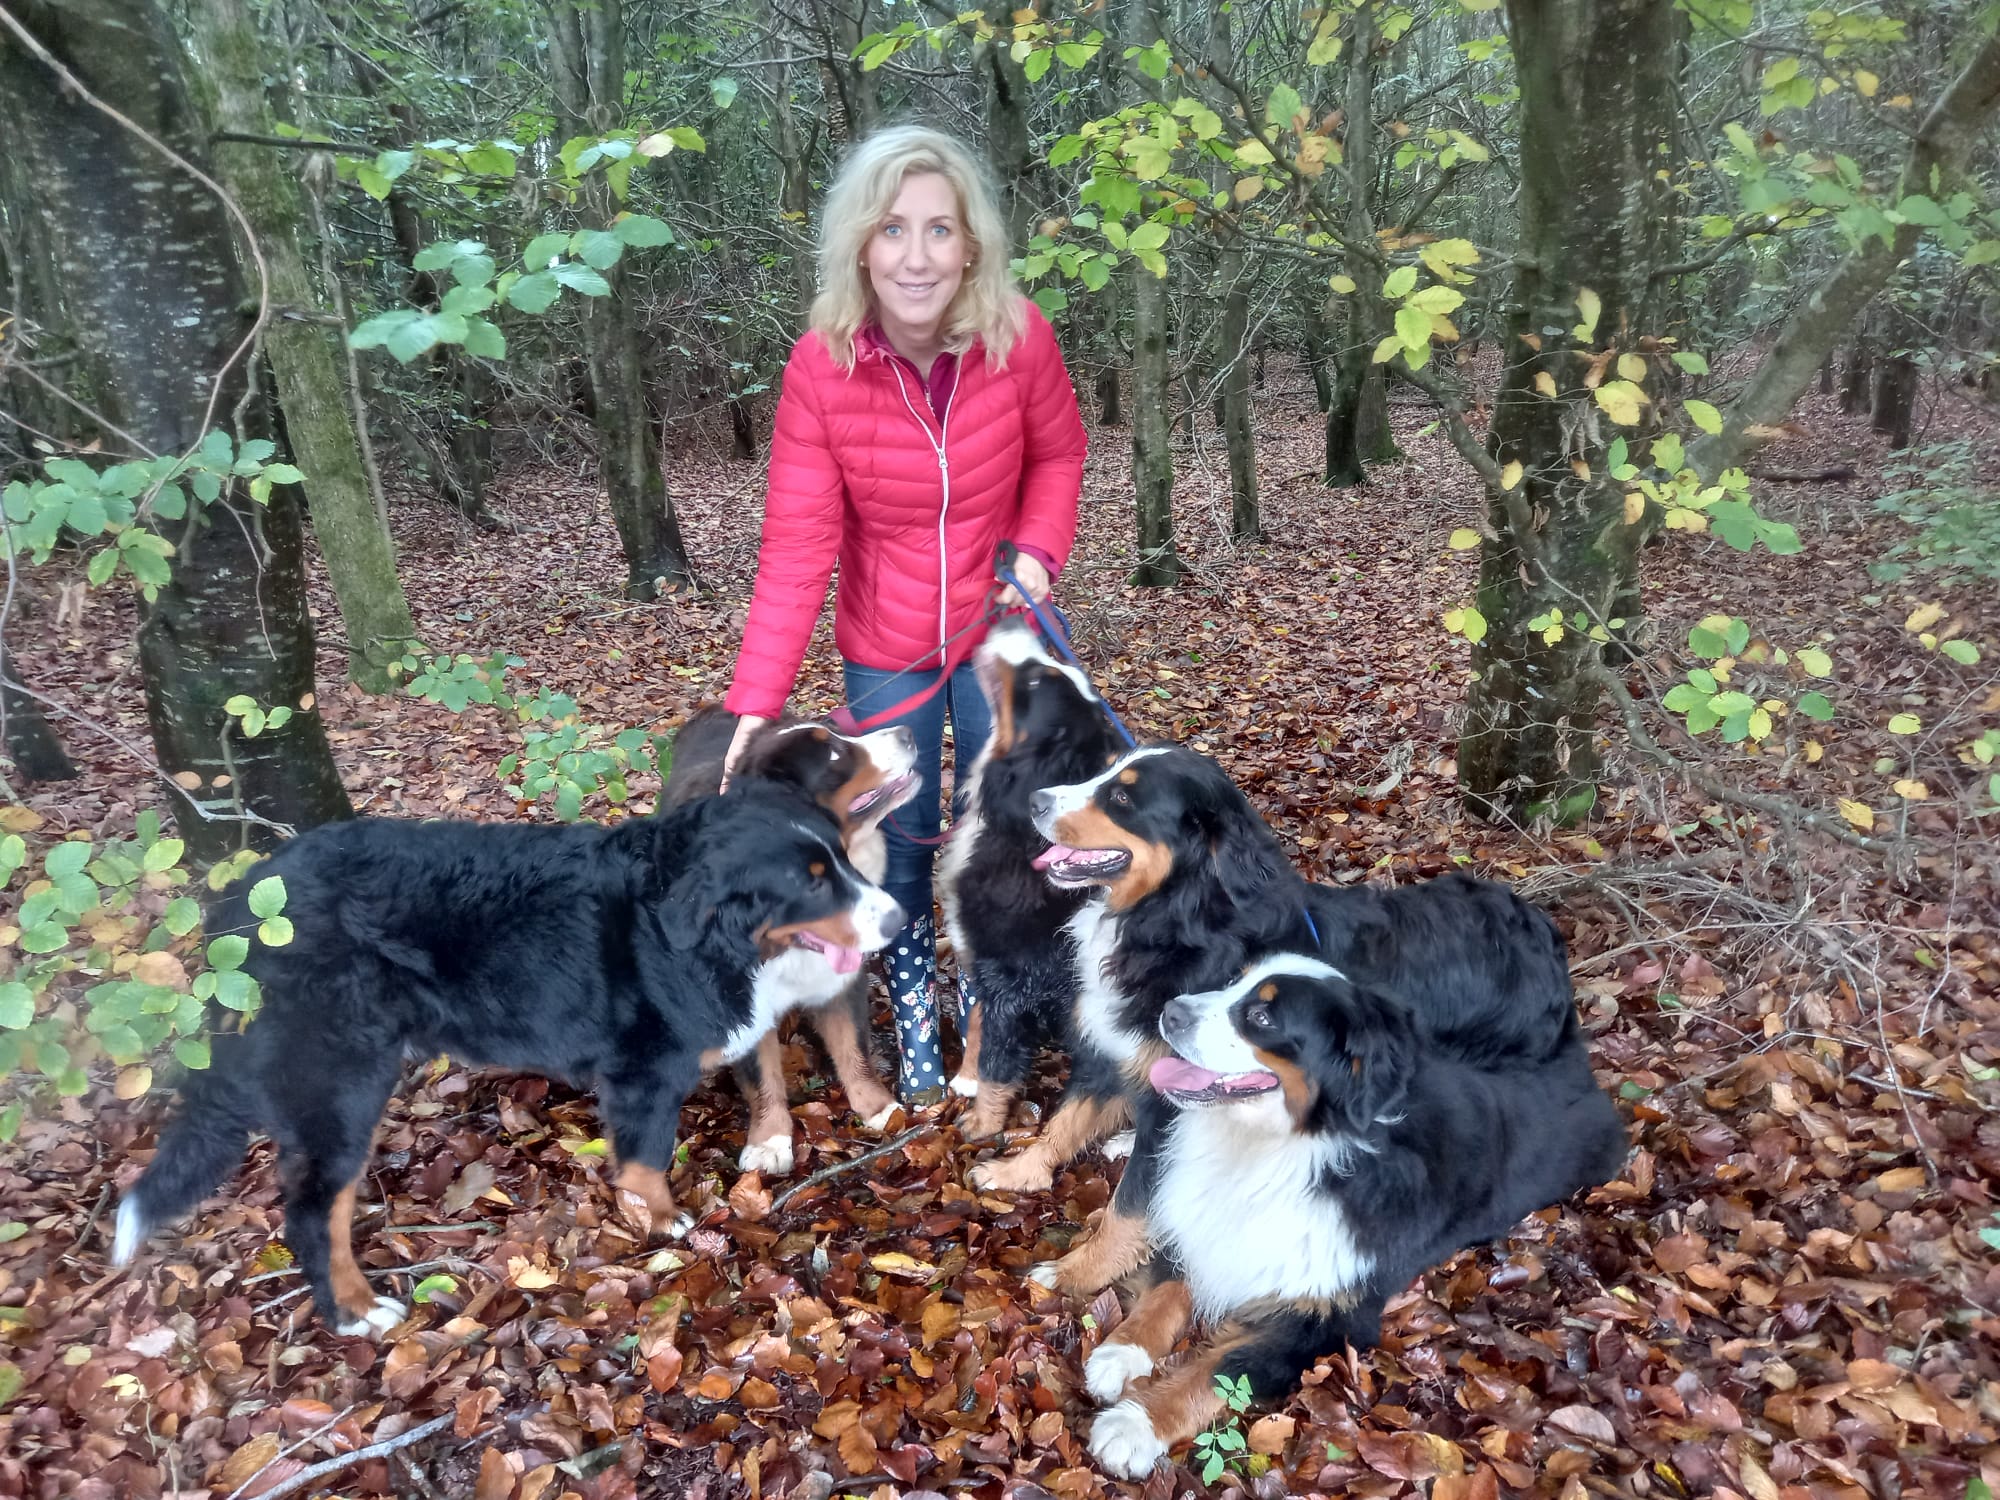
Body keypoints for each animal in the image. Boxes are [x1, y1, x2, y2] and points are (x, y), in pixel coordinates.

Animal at [105, 800, 896, 1336]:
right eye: (812, 882)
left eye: (844, 859)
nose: (895, 919)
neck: (687, 927)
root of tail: (237, 907)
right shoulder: (644, 1070)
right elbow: (642, 1164)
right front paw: (666, 1226)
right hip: (342, 1082)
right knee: (310, 1213)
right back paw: (355, 1310)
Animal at [668, 712, 924, 1184]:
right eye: (835, 754)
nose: (907, 733)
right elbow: (762, 1077)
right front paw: (768, 1140)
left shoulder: (843, 979)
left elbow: (853, 1047)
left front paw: (879, 1108)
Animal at [936, 620, 1128, 1136]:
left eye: (1038, 680)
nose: (1010, 618)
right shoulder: (984, 959)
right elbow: (978, 1020)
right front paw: (966, 1078)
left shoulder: (1014, 981)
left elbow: (999, 1058)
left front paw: (981, 1124)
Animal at [980, 752, 1576, 1304]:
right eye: (1105, 772)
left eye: (1123, 798)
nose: (1034, 801)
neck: (1180, 922)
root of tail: (1546, 934)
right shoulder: (1116, 1050)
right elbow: (1066, 1121)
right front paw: (1017, 1171)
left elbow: (1129, 1205)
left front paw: (1078, 1271)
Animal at [1080, 964, 1624, 1480]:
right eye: (1235, 980)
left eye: (1262, 1017)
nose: (1170, 1012)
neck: (1279, 1152)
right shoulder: (1213, 1231)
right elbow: (1166, 1293)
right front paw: (1122, 1351)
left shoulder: (1328, 1317)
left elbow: (1219, 1368)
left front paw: (1134, 1425)